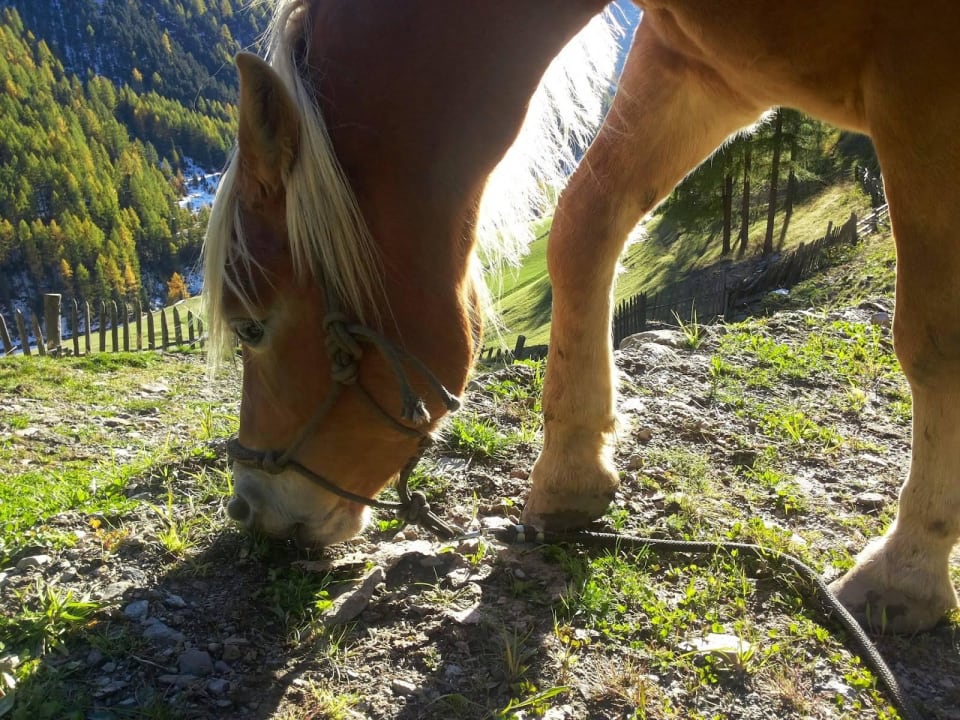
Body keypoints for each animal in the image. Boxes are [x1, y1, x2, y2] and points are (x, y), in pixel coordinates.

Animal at [203, 0, 960, 635]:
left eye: (250, 325)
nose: (246, 506)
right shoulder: (699, 62)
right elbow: (585, 222)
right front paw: (570, 470)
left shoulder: (925, 93)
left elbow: (935, 339)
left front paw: (911, 567)